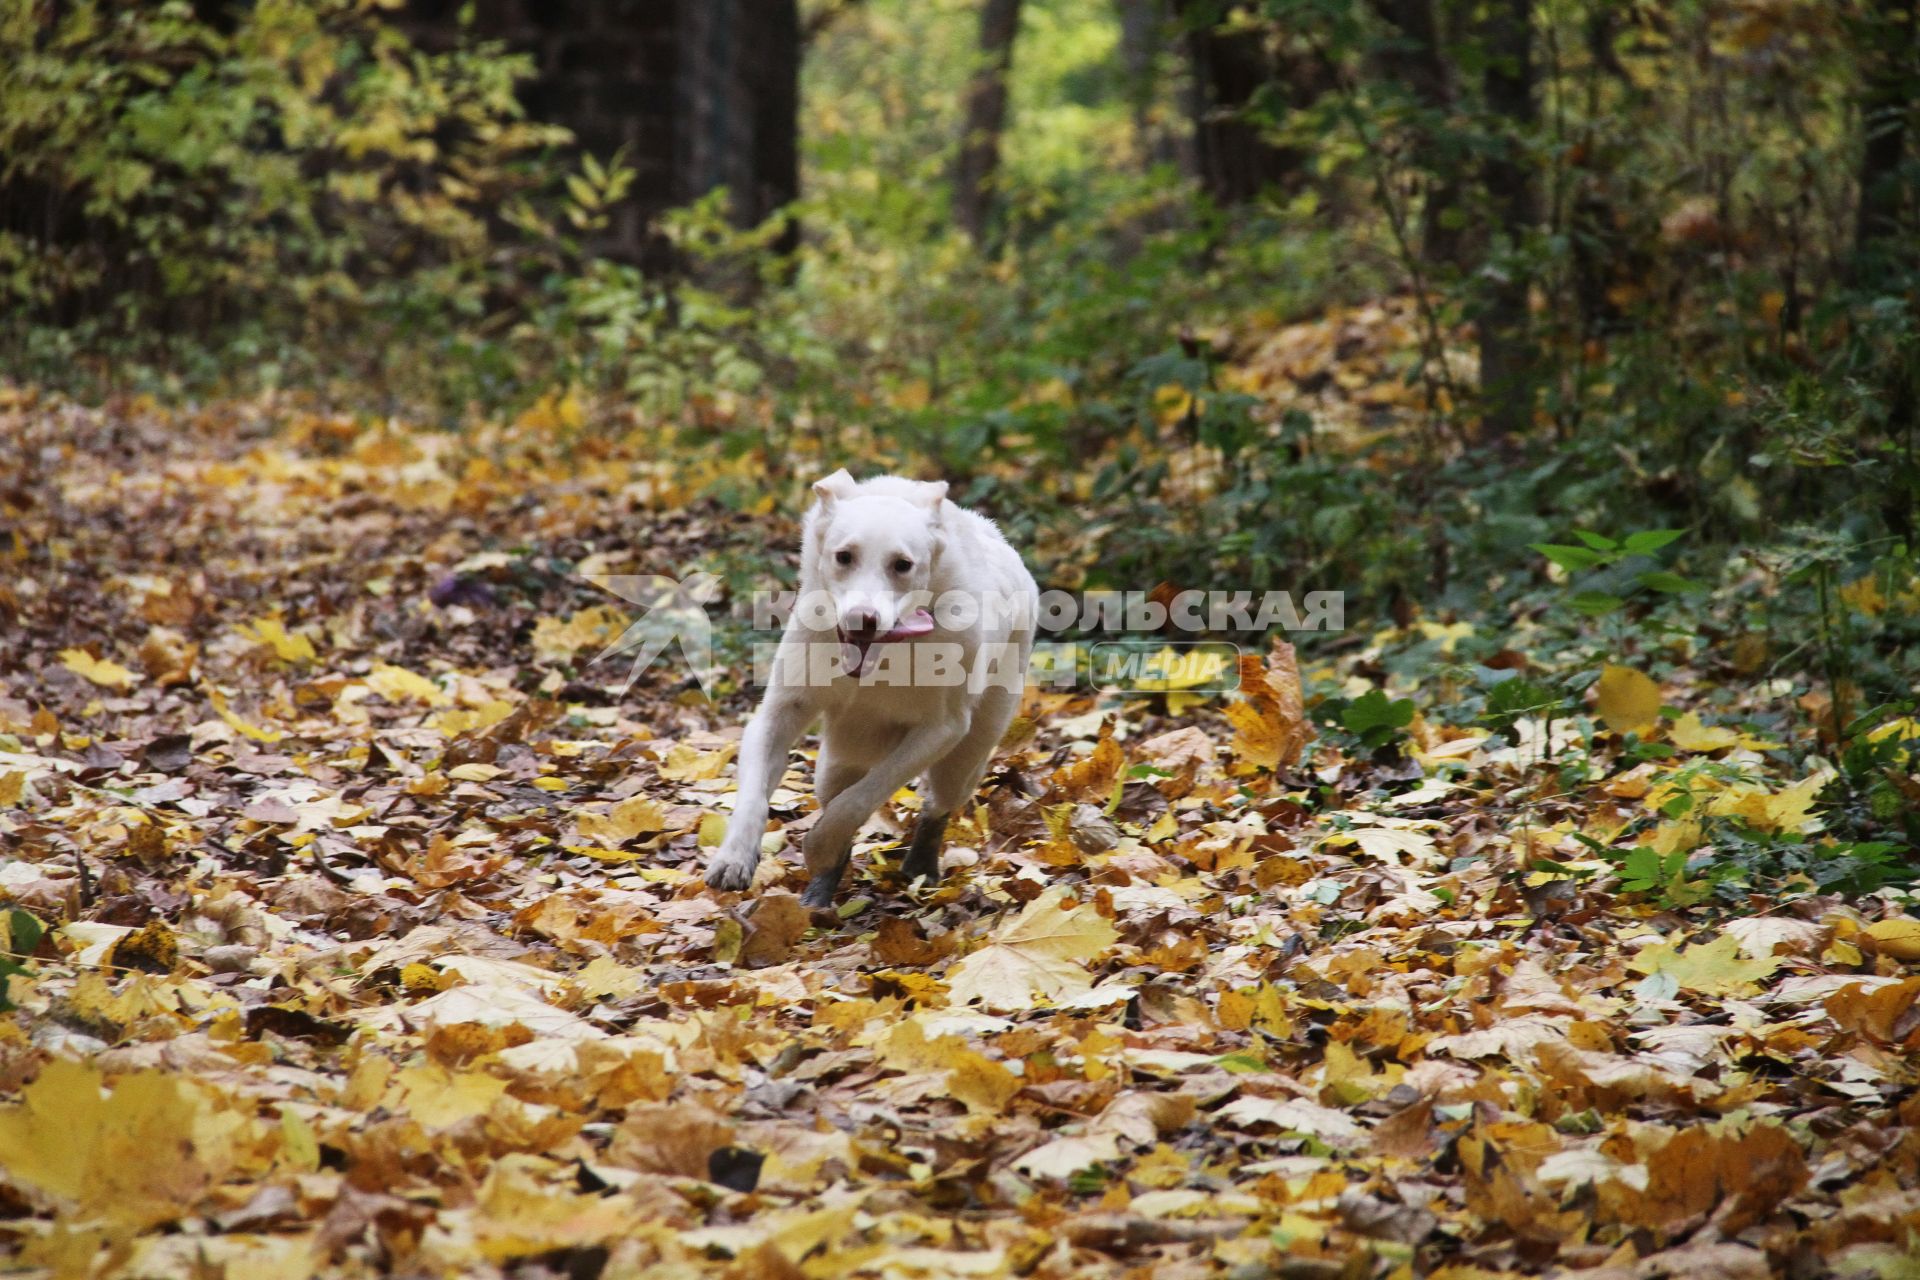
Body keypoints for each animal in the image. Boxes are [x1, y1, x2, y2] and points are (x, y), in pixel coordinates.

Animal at [706, 474, 1036, 909]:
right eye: (844, 556)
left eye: (903, 565)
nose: (862, 620)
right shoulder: (781, 710)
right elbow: (755, 794)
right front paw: (734, 859)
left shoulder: (940, 730)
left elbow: (860, 799)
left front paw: (820, 848)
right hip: (837, 759)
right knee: (835, 786)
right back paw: (819, 894)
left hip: (968, 754)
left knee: (937, 803)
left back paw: (921, 865)